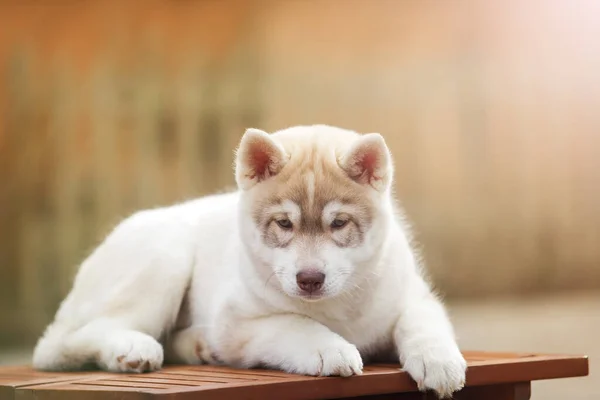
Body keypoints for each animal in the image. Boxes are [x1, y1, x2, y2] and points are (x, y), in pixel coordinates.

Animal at [30, 124, 466, 396]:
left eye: (339, 223)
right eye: (284, 223)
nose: (310, 279)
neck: (337, 307)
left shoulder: (411, 294)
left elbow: (423, 323)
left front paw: (439, 360)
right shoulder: (237, 323)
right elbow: (294, 323)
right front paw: (329, 348)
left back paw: (197, 345)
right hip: (165, 257)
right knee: (64, 341)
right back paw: (133, 348)